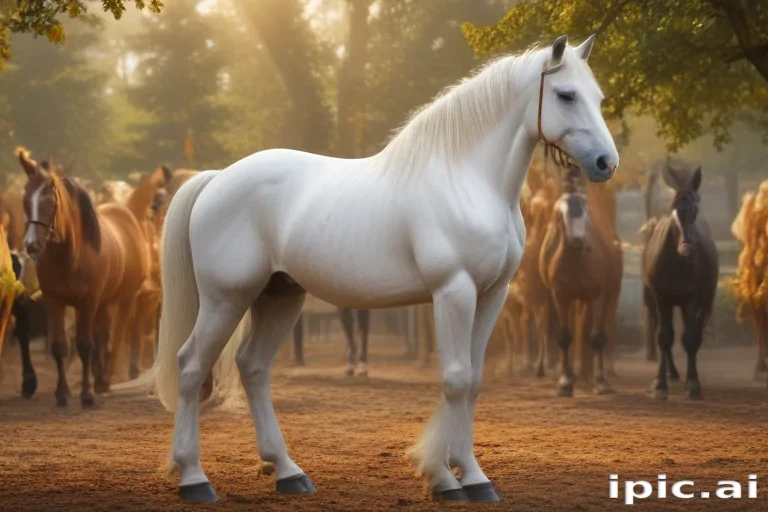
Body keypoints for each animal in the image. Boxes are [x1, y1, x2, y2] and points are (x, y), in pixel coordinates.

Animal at [17, 147, 151, 407]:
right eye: (25, 199)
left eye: (50, 200)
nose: (31, 245)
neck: (70, 256)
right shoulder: (55, 302)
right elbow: (61, 346)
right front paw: (62, 393)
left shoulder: (88, 302)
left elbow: (85, 345)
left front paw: (87, 395)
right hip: (105, 302)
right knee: (102, 334)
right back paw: (99, 379)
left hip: (125, 299)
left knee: (114, 336)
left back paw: (105, 381)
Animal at [539, 164, 621, 396]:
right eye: (560, 212)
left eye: (586, 211)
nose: (578, 241)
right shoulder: (560, 296)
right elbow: (564, 336)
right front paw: (564, 383)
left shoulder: (599, 295)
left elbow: (596, 337)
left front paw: (601, 383)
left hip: (603, 296)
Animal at [642, 163, 718, 400]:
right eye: (674, 208)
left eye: (696, 209)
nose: (687, 247)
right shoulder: (660, 298)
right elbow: (664, 337)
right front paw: (659, 384)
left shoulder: (693, 299)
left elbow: (690, 338)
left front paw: (692, 384)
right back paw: (672, 372)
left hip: (702, 302)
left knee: (694, 333)